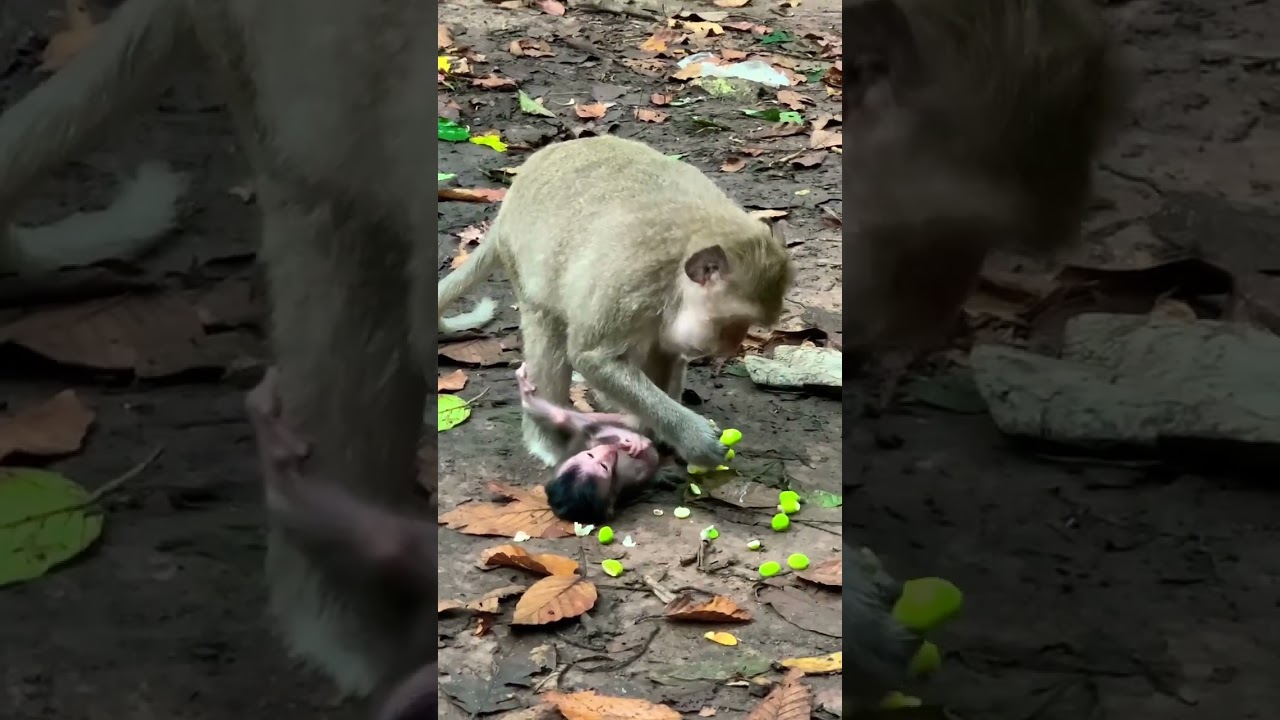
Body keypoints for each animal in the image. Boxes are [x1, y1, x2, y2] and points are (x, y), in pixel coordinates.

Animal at [438, 136, 795, 471]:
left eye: (746, 326)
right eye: (733, 322)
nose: (730, 346)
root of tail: (510, 198)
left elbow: (665, 354)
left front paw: (661, 433)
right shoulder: (630, 287)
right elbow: (593, 358)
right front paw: (693, 438)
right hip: (523, 264)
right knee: (548, 331)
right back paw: (550, 441)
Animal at [515, 362, 667, 523]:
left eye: (590, 455)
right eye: (604, 467)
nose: (609, 449)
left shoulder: (577, 446)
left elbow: (560, 417)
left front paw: (525, 388)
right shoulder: (624, 480)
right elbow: (647, 462)